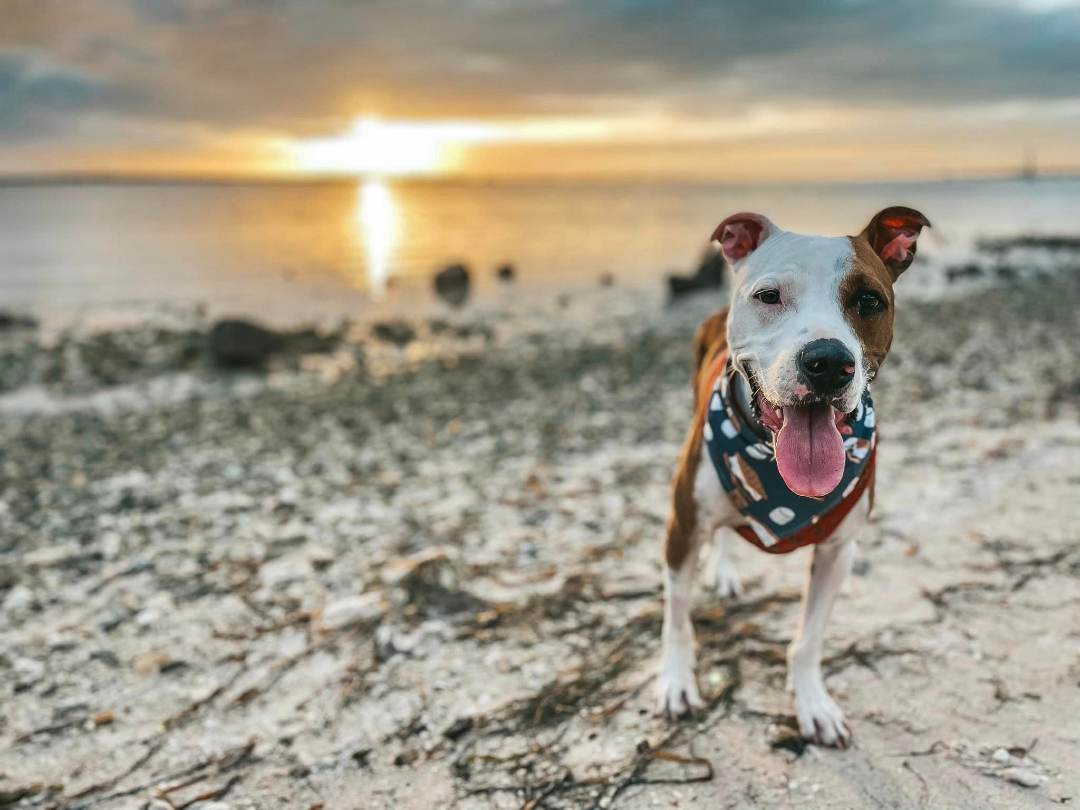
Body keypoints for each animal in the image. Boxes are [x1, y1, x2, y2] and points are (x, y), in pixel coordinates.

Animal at [652, 207, 933, 747]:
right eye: (769, 296)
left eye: (869, 300)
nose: (828, 362)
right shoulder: (682, 528)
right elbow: (677, 620)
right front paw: (676, 682)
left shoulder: (838, 552)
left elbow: (809, 639)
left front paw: (812, 703)